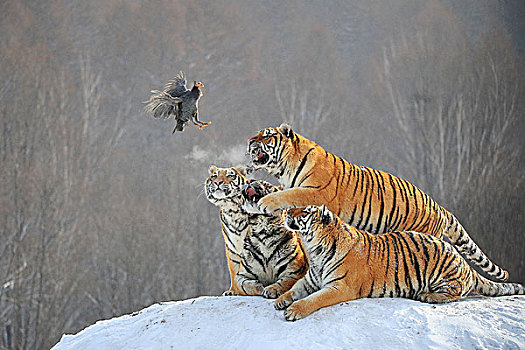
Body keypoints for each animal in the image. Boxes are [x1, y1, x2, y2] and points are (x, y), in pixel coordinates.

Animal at [203, 165, 304, 296]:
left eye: (230, 175)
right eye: (214, 176)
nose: (218, 182)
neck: (233, 212)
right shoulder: (232, 249)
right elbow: (237, 274)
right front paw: (233, 291)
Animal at [248, 123, 510, 282]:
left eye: (266, 135)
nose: (249, 141)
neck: (285, 168)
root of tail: (441, 208)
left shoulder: (314, 193)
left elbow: (286, 196)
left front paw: (265, 202)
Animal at [274, 206, 524, 322]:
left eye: (305, 211)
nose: (287, 210)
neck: (315, 250)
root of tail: (466, 265)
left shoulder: (339, 287)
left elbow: (313, 300)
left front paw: (294, 310)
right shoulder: (309, 280)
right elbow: (294, 289)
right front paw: (281, 300)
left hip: (445, 270)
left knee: (455, 294)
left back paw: (428, 296)